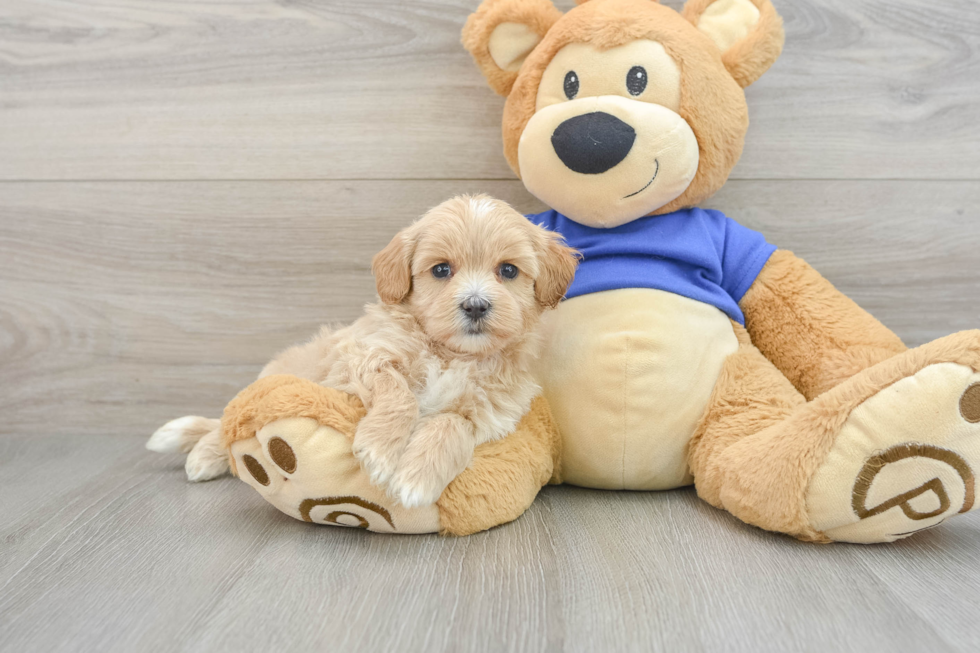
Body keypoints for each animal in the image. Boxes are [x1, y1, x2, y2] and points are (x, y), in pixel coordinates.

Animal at [148, 196, 580, 506]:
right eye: (441, 270)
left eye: (508, 270)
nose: (475, 306)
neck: (452, 355)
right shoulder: (362, 358)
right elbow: (399, 394)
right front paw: (381, 451)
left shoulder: (491, 412)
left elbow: (450, 424)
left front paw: (417, 478)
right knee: (228, 423)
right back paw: (204, 457)